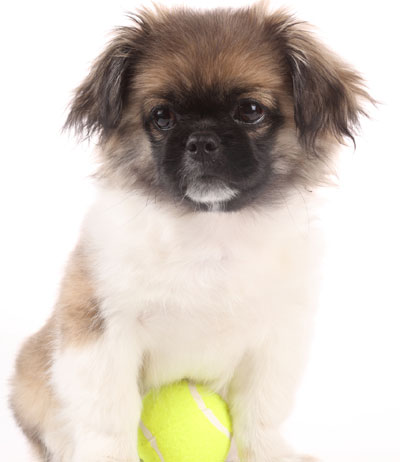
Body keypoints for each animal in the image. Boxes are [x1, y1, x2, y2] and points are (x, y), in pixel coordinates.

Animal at [10, 3, 372, 462]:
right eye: (162, 117)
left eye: (250, 110)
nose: (201, 140)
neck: (211, 228)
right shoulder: (100, 330)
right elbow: (110, 414)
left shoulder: (277, 337)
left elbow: (261, 409)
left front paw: (265, 451)